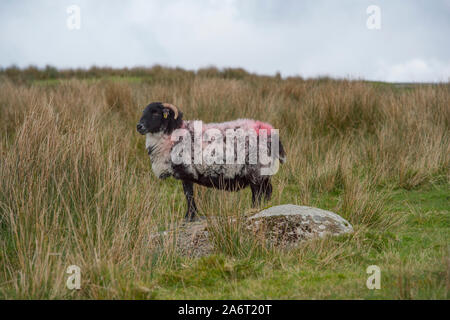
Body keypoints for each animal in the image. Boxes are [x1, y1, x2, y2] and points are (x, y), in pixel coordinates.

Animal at [135, 102, 286, 220]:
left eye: (155, 113)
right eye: (144, 112)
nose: (139, 126)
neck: (171, 136)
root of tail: (270, 131)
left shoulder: (186, 172)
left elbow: (188, 195)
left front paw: (189, 217)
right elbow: (189, 195)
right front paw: (190, 216)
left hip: (255, 169)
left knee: (257, 193)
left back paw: (253, 210)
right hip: (263, 172)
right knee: (266, 191)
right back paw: (263, 209)